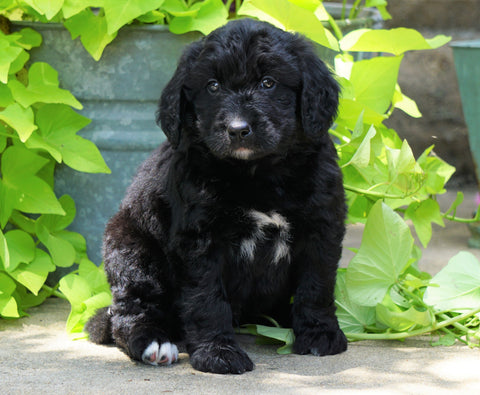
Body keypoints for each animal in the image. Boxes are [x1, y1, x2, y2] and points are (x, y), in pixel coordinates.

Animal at [87, 18, 344, 376]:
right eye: (212, 86)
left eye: (268, 83)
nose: (237, 129)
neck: (258, 173)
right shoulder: (199, 239)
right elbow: (206, 299)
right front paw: (218, 352)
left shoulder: (322, 226)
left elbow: (316, 284)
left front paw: (320, 333)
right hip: (130, 249)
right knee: (130, 311)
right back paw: (155, 343)